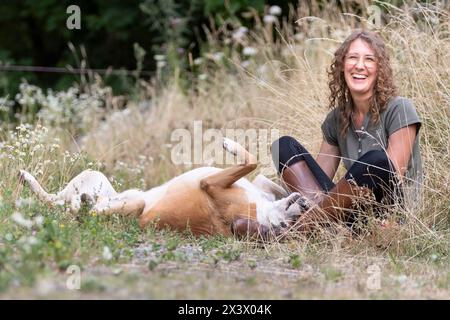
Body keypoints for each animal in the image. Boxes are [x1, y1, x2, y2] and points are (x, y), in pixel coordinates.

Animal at [18, 139, 306, 236]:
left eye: (290, 224)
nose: (304, 204)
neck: (266, 212)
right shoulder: (259, 186)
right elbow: (265, 178)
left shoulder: (210, 183)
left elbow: (251, 160)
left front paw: (229, 144)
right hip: (98, 179)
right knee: (61, 201)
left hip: (129, 202)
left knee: (72, 210)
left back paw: (81, 202)